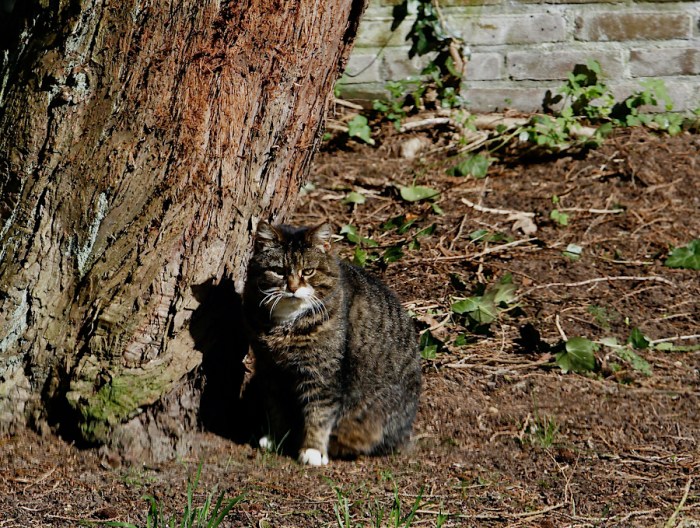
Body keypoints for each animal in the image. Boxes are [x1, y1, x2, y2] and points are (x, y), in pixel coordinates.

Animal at [243, 221, 421, 466]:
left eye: (308, 271)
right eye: (278, 271)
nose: (292, 288)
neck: (286, 324)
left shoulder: (322, 374)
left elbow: (319, 413)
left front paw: (313, 450)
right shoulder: (269, 368)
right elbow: (275, 407)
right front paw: (276, 437)